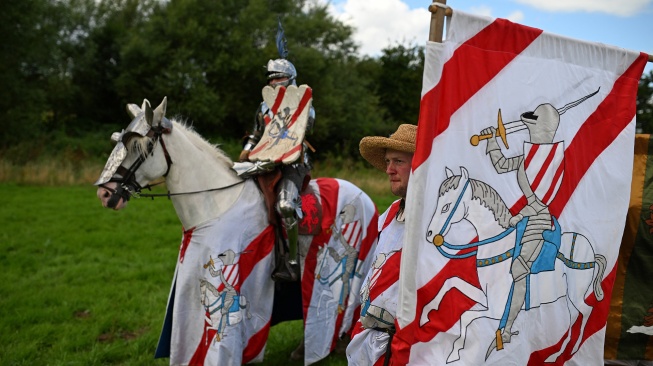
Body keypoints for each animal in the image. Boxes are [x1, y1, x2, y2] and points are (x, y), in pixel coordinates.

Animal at [422, 168, 608, 364]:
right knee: (573, 316)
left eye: (446, 206)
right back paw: (556, 355)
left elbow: (465, 315)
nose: (430, 234)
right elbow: (452, 282)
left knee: (586, 311)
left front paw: (455, 351)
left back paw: (573, 351)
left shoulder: (496, 309)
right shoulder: (486, 298)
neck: (498, 247)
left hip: (575, 294)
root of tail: (590, 251)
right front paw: (426, 314)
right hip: (568, 297)